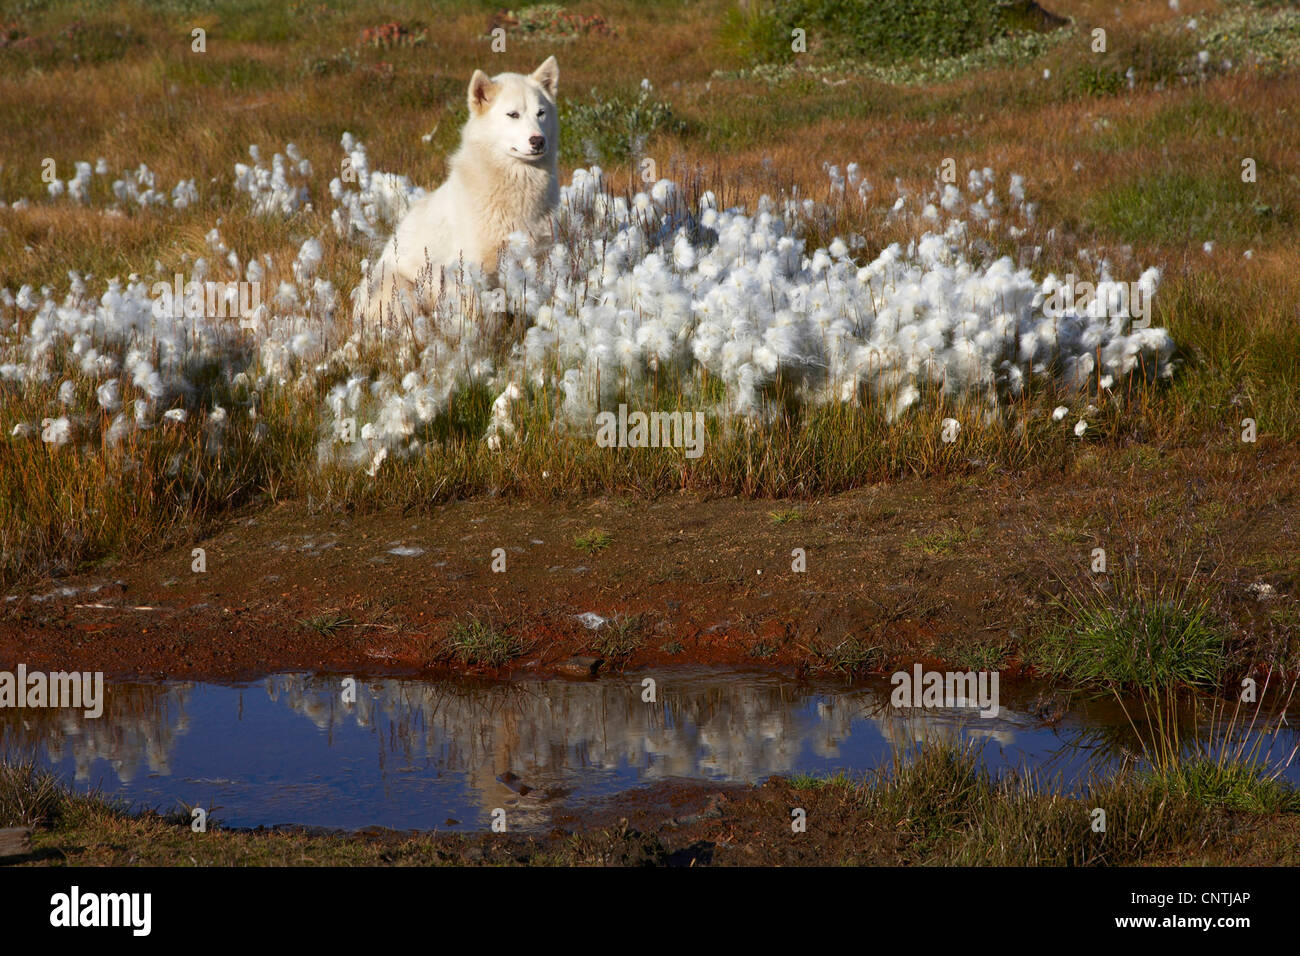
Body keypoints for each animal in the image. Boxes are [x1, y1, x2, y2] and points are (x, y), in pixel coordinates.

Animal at [353, 56, 561, 332]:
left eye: (541, 113)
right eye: (513, 115)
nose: (538, 141)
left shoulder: (534, 259)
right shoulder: (472, 270)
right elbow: (479, 317)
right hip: (400, 290)